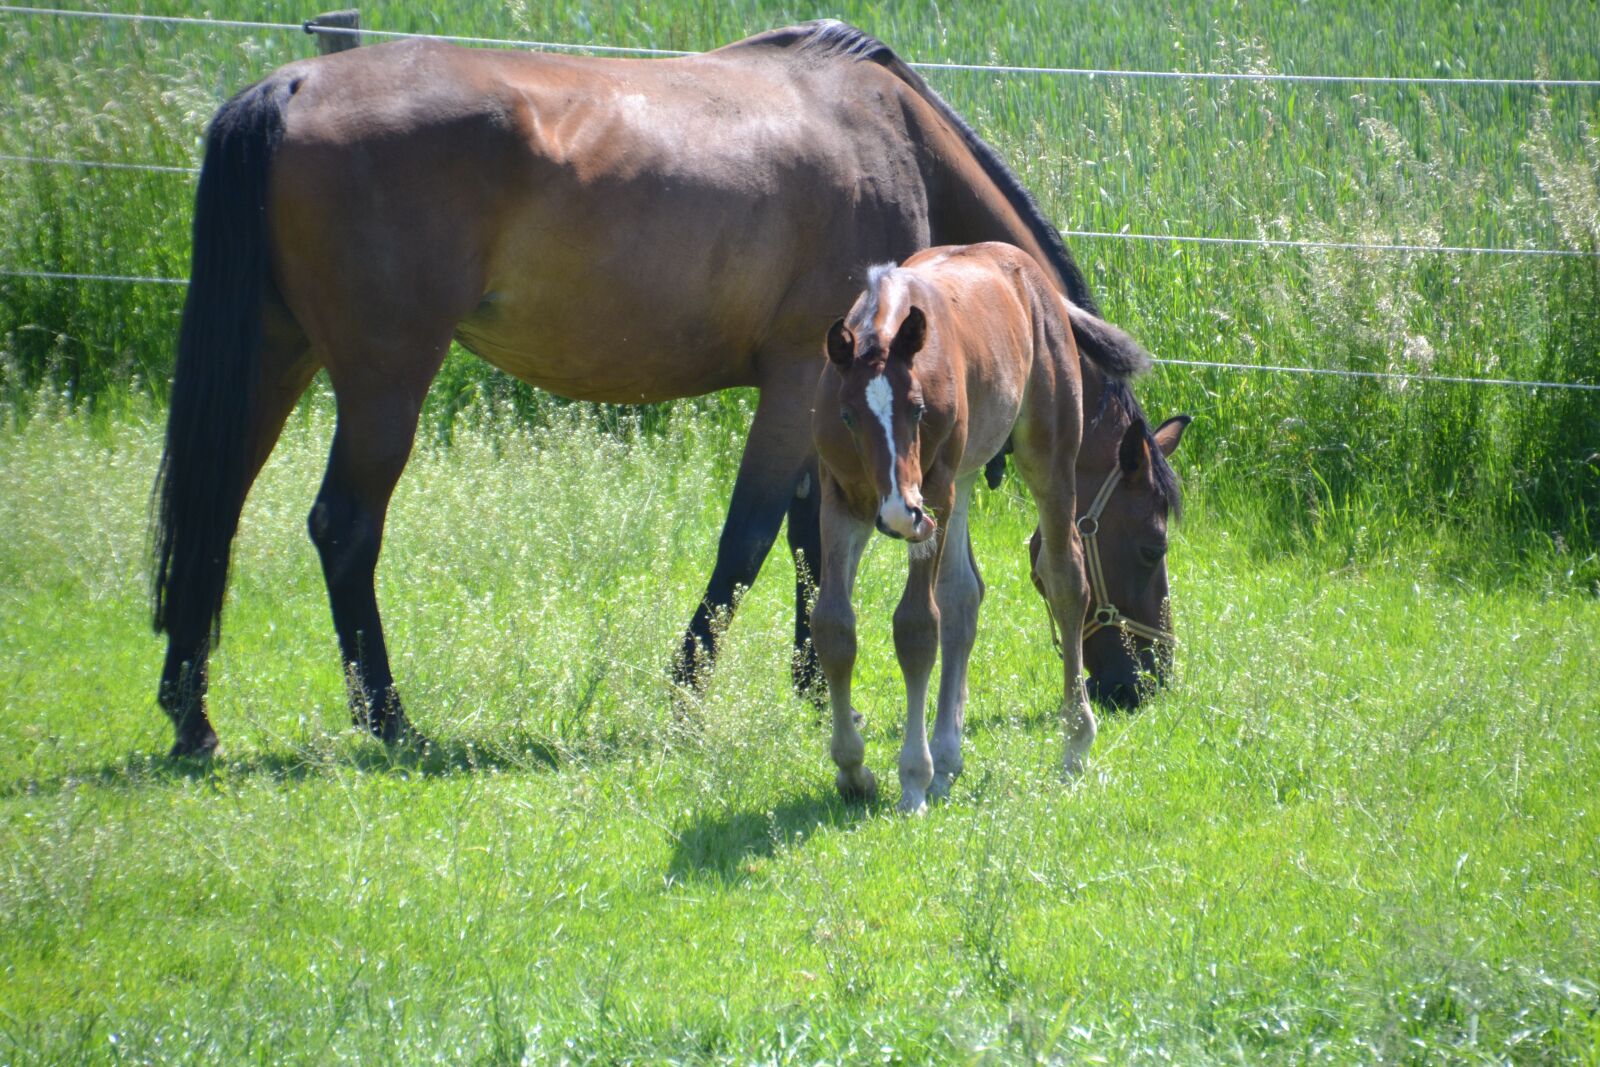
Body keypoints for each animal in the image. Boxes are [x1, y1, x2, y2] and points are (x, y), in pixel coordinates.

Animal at [150, 19, 1113, 758]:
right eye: (1129, 534)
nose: (1132, 682)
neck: (889, 133)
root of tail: (294, 83)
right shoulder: (804, 377)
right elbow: (749, 543)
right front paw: (686, 693)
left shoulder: (831, 410)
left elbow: (809, 542)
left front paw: (812, 683)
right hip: (386, 378)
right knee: (343, 527)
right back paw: (390, 721)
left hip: (278, 356)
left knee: (213, 513)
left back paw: (192, 718)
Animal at [811, 243, 1187, 814]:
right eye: (849, 416)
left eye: (918, 410)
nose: (899, 513)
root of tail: (1033, 277)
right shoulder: (843, 498)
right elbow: (834, 626)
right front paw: (854, 770)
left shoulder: (933, 495)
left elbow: (916, 627)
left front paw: (912, 778)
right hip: (963, 478)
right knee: (963, 596)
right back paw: (948, 761)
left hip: (1039, 461)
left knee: (1066, 580)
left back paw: (1074, 744)